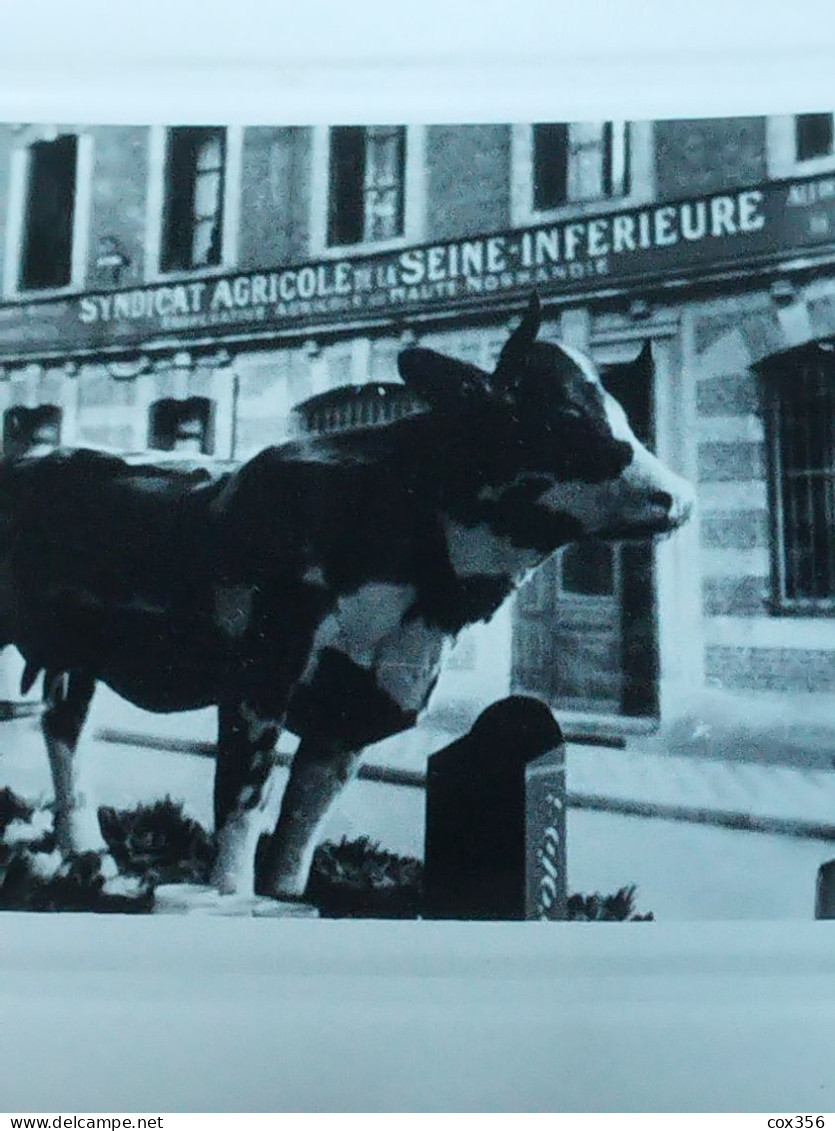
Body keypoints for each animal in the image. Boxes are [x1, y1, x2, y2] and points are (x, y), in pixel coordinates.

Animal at [0, 294, 692, 909]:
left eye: (622, 414)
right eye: (559, 417)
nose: (679, 497)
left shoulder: (361, 707)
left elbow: (297, 842)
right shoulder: (261, 677)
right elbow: (241, 808)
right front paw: (227, 896)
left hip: (75, 660)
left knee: (65, 729)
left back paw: (87, 858)